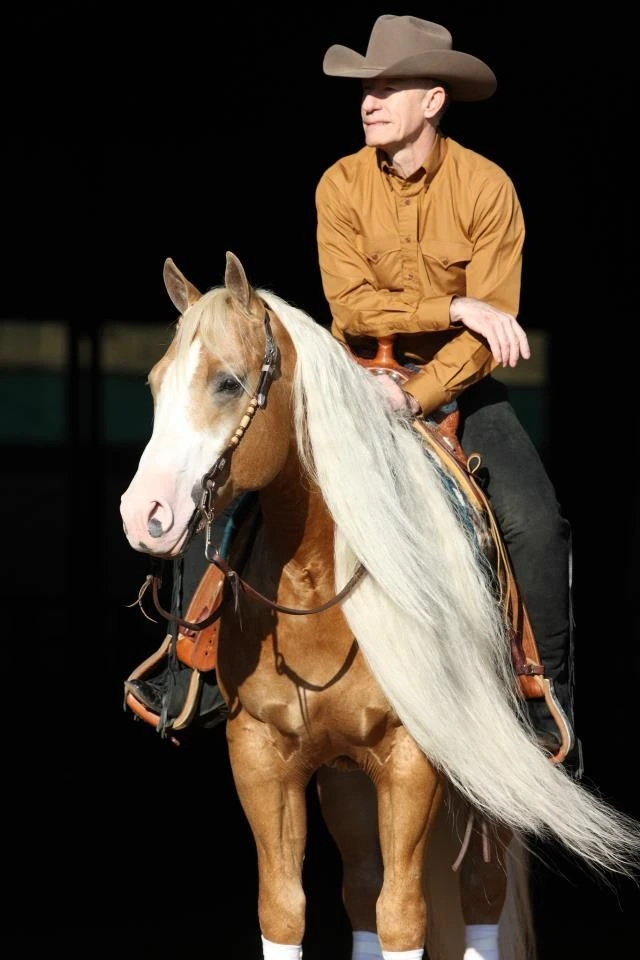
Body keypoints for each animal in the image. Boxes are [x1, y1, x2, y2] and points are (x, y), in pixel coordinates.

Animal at [120, 251, 640, 956]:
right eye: (155, 383)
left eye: (228, 382)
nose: (144, 513)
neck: (317, 581)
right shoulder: (260, 753)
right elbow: (285, 910)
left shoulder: (410, 759)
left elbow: (403, 915)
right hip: (345, 776)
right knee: (363, 889)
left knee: (478, 893)